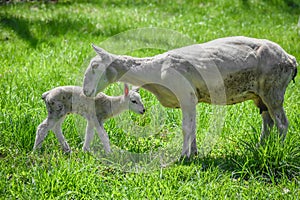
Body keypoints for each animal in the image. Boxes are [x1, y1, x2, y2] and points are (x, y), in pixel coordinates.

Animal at [82, 36, 298, 159]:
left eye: (95, 66)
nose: (85, 91)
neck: (154, 70)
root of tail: (290, 58)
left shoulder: (186, 96)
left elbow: (186, 128)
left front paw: (183, 157)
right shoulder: (189, 100)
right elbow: (192, 127)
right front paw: (193, 154)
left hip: (274, 90)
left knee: (282, 124)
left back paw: (278, 149)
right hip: (260, 96)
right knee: (268, 122)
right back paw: (261, 148)